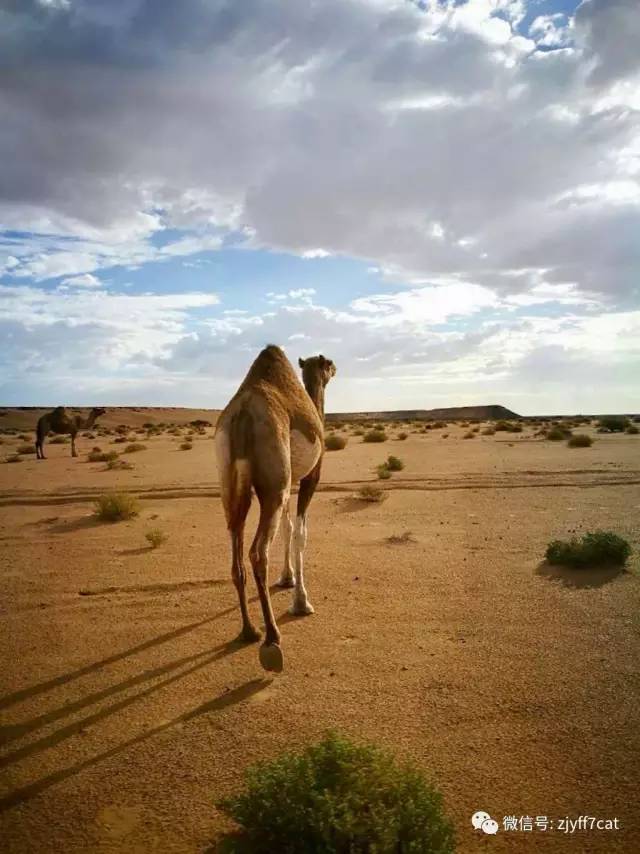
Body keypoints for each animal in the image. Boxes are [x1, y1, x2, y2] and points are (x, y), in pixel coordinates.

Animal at [214, 344, 336, 672]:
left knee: (236, 554)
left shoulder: (288, 483)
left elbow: (288, 527)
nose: (335, 368)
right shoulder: (310, 477)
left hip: (231, 486)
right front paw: (301, 602)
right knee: (257, 552)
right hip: (273, 484)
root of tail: (242, 417)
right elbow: (301, 533)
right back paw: (271, 640)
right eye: (329, 364)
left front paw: (287, 578)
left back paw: (248, 631)